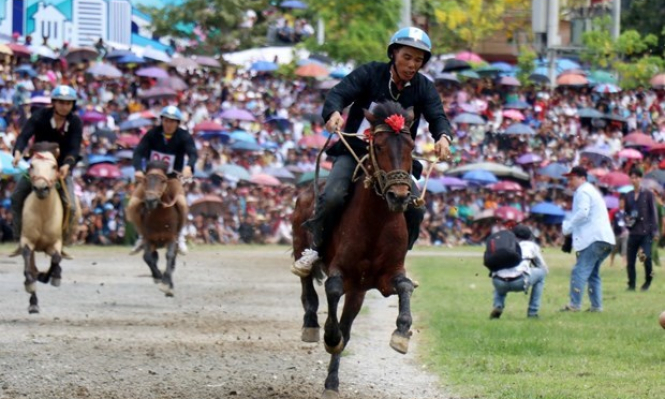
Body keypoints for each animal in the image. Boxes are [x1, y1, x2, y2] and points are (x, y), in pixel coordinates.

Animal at [18, 142, 80, 314]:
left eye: (54, 166)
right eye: (31, 165)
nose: (41, 188)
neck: (43, 213)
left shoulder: (55, 243)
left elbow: (56, 259)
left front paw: (52, 277)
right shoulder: (27, 240)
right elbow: (28, 263)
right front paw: (31, 282)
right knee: (31, 265)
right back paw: (33, 302)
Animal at [134, 160, 183, 296]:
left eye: (163, 181)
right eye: (146, 179)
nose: (151, 200)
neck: (160, 216)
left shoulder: (172, 237)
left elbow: (170, 256)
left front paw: (166, 284)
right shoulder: (148, 238)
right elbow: (147, 257)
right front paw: (158, 276)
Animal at [294, 101, 418, 398]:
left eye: (411, 146)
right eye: (380, 146)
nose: (399, 196)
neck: (376, 222)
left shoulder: (384, 277)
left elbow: (405, 286)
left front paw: (401, 334)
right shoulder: (341, 271)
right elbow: (332, 290)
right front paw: (329, 336)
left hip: (358, 291)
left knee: (347, 325)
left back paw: (331, 383)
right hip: (299, 241)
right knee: (306, 283)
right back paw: (311, 324)